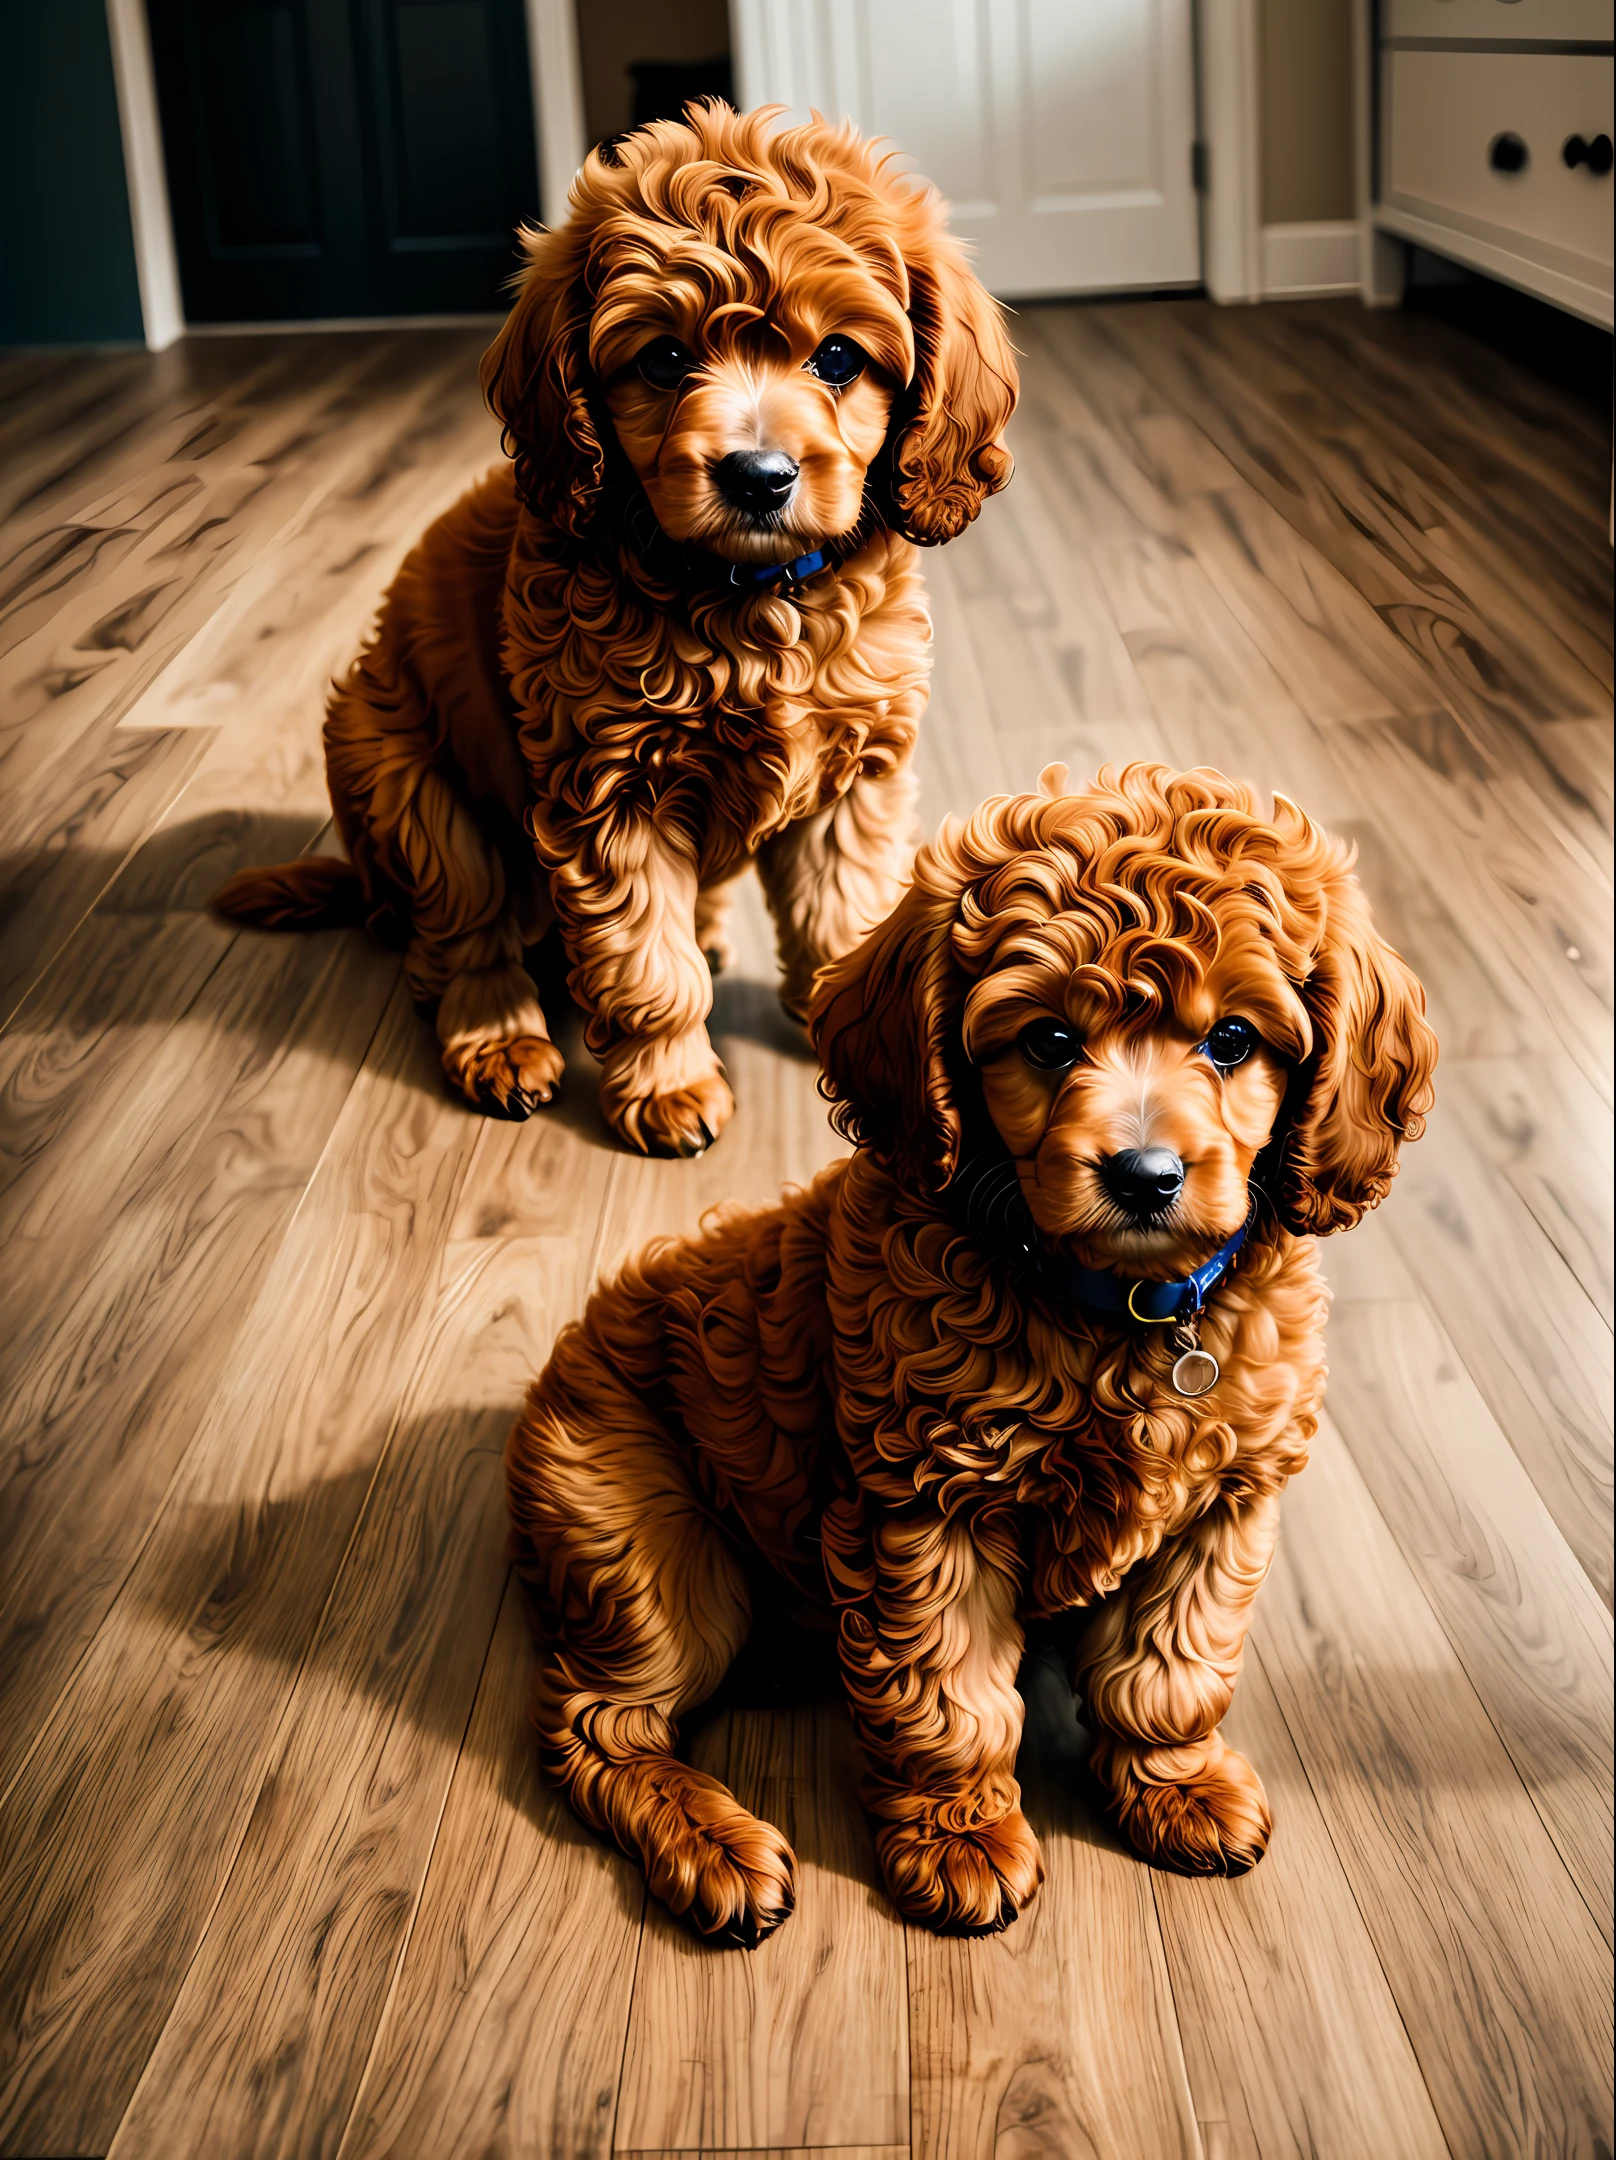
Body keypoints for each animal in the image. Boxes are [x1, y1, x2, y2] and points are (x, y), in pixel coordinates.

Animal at [211, 101, 1011, 1157]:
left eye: (839, 358)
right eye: (664, 359)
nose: (759, 476)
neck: (749, 599)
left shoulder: (855, 780)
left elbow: (840, 914)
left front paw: (850, 1022)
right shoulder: (610, 795)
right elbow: (645, 966)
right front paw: (671, 1085)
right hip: (405, 785)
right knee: (458, 944)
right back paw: (500, 1039)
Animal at [507, 768, 1443, 1952]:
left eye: (1233, 1039)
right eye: (1045, 1043)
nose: (1144, 1175)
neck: (1114, 1309)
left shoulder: (1225, 1505)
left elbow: (1173, 1670)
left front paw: (1175, 1783)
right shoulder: (924, 1510)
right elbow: (950, 1698)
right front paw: (961, 1838)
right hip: (645, 1547)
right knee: (596, 1723)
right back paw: (713, 1848)